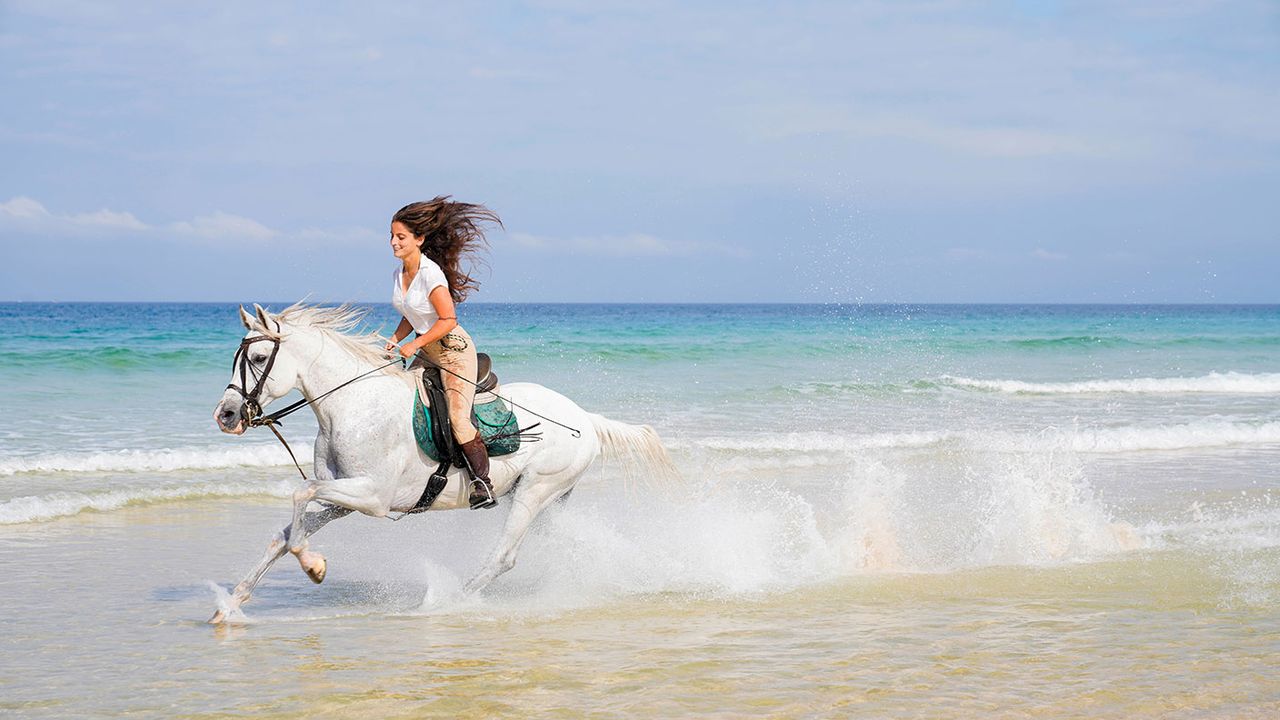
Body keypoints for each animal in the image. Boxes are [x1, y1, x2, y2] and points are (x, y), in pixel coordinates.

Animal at [207, 302, 680, 622]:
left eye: (259, 359)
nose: (226, 415)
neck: (354, 406)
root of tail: (586, 419)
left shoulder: (371, 497)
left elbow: (299, 496)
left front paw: (314, 566)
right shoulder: (342, 499)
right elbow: (285, 534)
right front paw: (231, 604)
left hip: (535, 492)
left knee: (503, 557)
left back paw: (448, 601)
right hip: (545, 500)